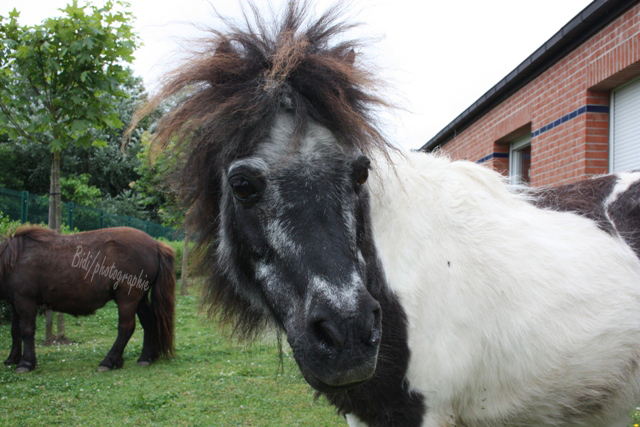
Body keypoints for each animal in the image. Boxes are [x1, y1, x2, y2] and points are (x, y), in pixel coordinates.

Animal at [0, 227, 175, 372]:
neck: (14, 259)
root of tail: (155, 244)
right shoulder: (15, 304)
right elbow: (15, 330)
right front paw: (12, 358)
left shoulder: (25, 302)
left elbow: (26, 330)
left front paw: (26, 363)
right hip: (140, 299)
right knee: (149, 323)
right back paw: (145, 357)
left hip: (128, 299)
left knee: (126, 328)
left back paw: (108, 361)